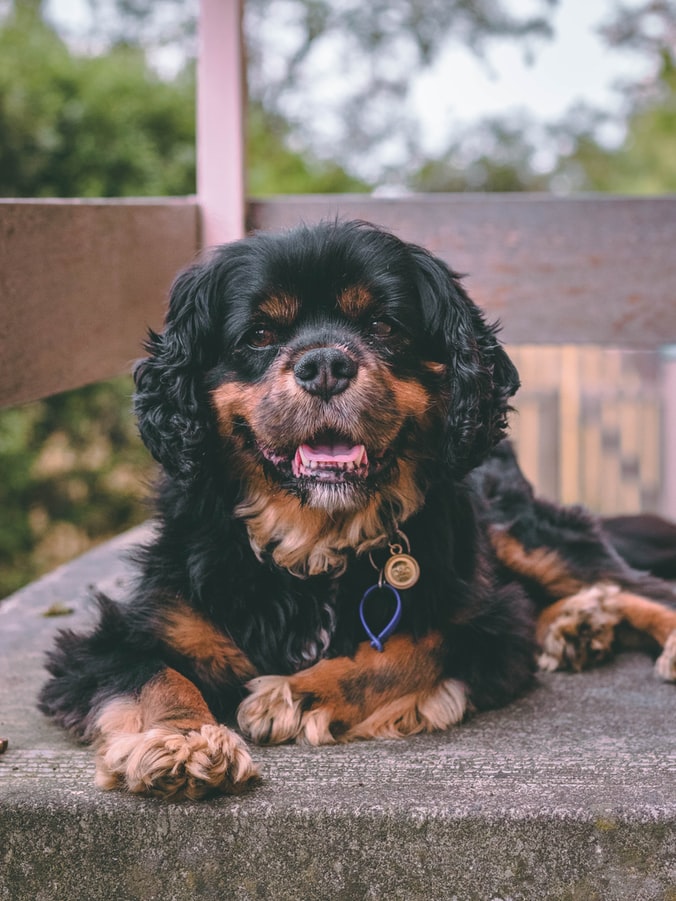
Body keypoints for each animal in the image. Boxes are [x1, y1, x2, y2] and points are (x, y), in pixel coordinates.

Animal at [38, 221, 676, 800]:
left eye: (382, 325)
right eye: (260, 334)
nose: (324, 364)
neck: (314, 539)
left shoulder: (487, 624)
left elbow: (411, 648)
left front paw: (295, 694)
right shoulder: (116, 637)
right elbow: (155, 676)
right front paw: (184, 742)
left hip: (518, 529)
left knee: (631, 585)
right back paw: (578, 624)